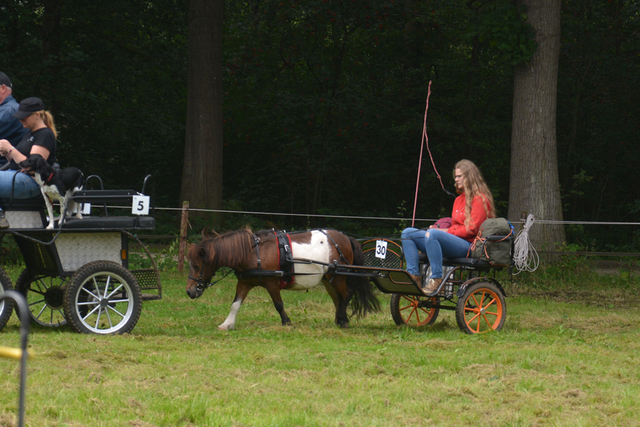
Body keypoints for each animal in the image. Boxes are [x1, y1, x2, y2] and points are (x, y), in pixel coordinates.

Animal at [185, 227, 380, 332]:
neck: (253, 252)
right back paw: (340, 319)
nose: (189, 291)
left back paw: (342, 319)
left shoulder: (272, 283)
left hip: (339, 276)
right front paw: (227, 324)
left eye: (197, 266)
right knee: (338, 299)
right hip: (329, 279)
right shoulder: (244, 282)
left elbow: (278, 304)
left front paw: (286, 322)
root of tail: (346, 238)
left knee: (346, 295)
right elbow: (235, 304)